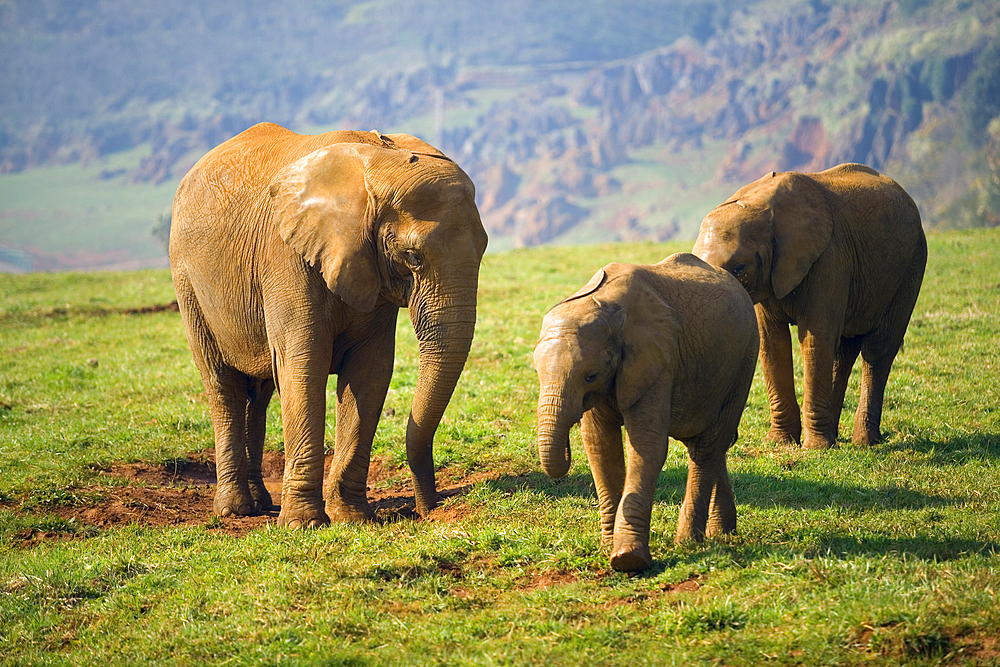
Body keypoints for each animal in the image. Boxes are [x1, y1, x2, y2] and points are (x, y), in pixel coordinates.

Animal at [171, 121, 488, 528]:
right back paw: (235, 509)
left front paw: (352, 518)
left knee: (260, 393)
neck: (378, 161)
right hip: (187, 281)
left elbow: (369, 373)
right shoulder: (286, 257)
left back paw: (260, 502)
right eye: (413, 257)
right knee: (223, 385)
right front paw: (303, 524)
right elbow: (304, 365)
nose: (429, 509)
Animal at [536, 253, 752, 572]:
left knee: (707, 447)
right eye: (536, 373)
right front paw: (608, 547)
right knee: (709, 443)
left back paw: (688, 542)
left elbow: (646, 444)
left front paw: (628, 559)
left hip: (743, 362)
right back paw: (722, 533)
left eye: (591, 376)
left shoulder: (656, 357)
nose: (565, 446)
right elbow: (600, 445)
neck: (605, 304)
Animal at [692, 164, 924, 452]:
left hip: (910, 268)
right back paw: (836, 437)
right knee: (843, 352)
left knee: (878, 350)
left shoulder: (829, 257)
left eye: (739, 268)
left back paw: (863, 442)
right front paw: (780, 442)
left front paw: (815, 449)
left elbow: (814, 340)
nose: (732, 438)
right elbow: (772, 343)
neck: (758, 205)